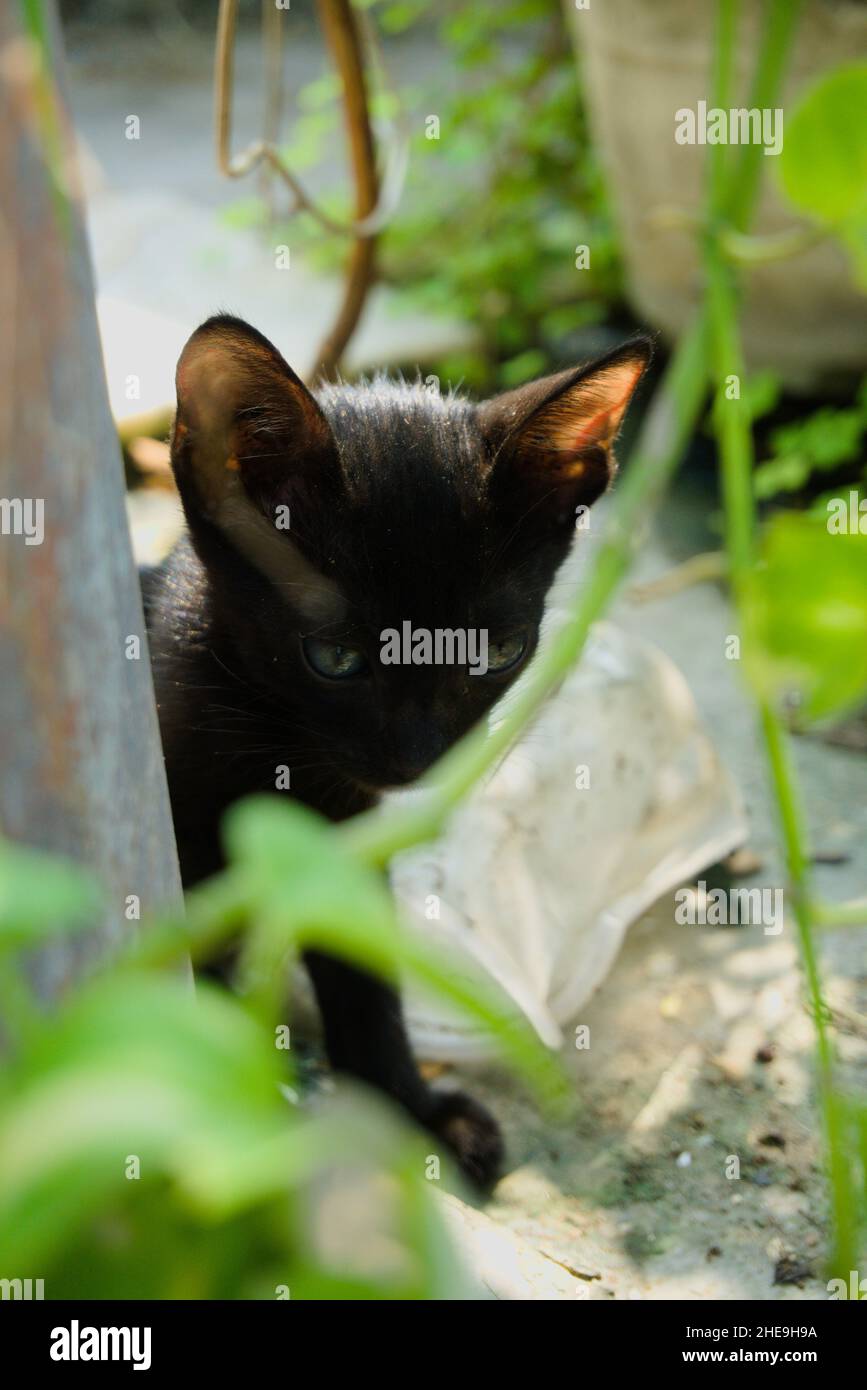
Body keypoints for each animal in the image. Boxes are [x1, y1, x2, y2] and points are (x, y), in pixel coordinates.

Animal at [140, 318, 650, 1195]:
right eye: (334, 657)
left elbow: (364, 978)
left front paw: (412, 1108)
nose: (415, 760)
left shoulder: (342, 839)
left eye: (496, 652)